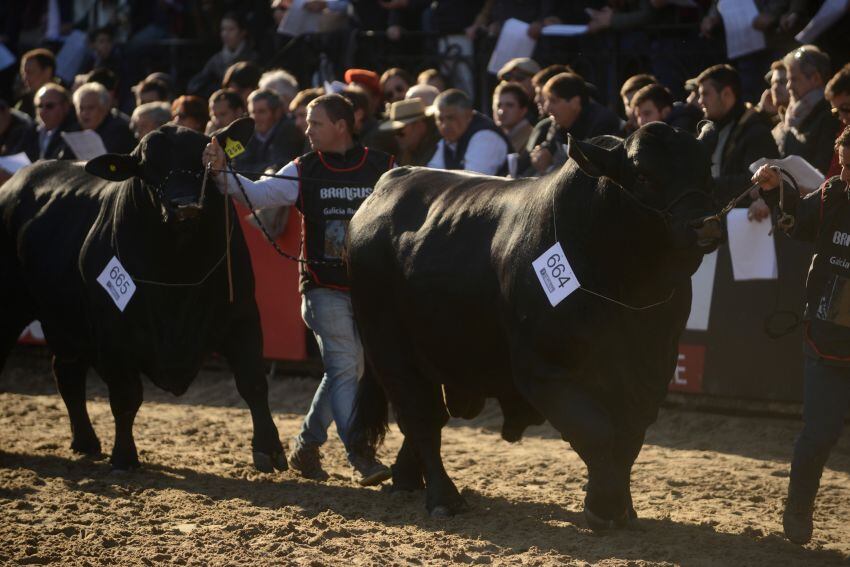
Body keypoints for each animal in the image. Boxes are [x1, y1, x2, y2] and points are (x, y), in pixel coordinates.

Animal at [0, 118, 288, 474]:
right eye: (147, 168)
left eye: (204, 162)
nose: (184, 205)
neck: (178, 272)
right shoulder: (112, 332)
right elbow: (126, 397)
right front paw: (124, 456)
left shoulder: (242, 315)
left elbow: (253, 382)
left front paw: (269, 450)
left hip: (62, 321)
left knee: (67, 371)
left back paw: (85, 441)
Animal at [344, 122, 724, 532]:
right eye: (642, 174)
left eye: (707, 169)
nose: (706, 223)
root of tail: (390, 181)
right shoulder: (543, 368)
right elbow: (595, 432)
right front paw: (604, 508)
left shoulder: (652, 370)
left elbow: (628, 438)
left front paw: (623, 507)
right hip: (388, 344)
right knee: (420, 415)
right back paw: (444, 498)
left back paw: (407, 480)